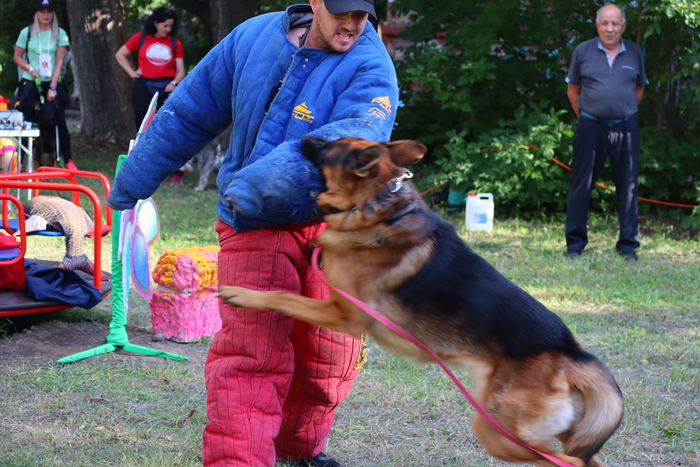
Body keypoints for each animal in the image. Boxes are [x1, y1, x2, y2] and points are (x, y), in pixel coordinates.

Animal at [219, 136, 623, 467]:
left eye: (333, 145)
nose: (307, 135)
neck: (378, 208)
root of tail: (572, 353)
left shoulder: (346, 315)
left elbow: (282, 295)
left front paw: (242, 294)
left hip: (498, 432)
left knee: (572, 462)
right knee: (588, 460)